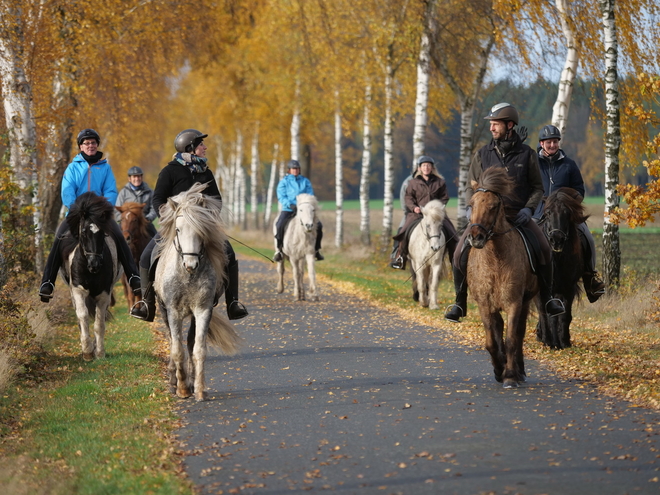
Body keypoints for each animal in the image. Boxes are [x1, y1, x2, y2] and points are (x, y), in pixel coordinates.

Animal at [60, 193, 122, 360]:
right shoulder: (78, 290)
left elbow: (99, 323)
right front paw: (87, 351)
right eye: (83, 233)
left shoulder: (104, 294)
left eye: (103, 233)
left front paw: (99, 352)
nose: (94, 264)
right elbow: (83, 316)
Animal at [153, 182, 244, 404]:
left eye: (201, 231)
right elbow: (176, 350)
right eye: (177, 229)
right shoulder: (173, 311)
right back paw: (174, 381)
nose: (191, 264)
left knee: (190, 341)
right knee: (172, 340)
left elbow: (198, 349)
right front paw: (182, 389)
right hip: (163, 310)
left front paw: (199, 390)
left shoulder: (203, 310)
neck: (188, 276)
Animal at [466, 169, 540, 390]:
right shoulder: (484, 304)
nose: (476, 237)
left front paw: (510, 375)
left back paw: (519, 371)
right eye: (471, 204)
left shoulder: (514, 303)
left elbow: (512, 340)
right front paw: (499, 370)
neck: (495, 259)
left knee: (519, 333)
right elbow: (492, 342)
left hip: (525, 301)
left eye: (493, 206)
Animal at [536, 188, 588, 350]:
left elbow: (565, 315)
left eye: (567, 213)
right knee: (542, 310)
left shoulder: (568, 287)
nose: (556, 239)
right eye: (547, 213)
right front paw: (550, 342)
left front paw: (564, 341)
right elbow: (548, 313)